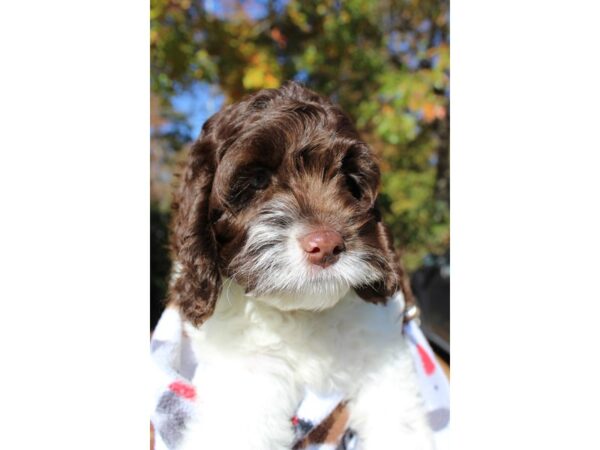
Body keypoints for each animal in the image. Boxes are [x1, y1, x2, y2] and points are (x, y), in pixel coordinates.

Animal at [166, 81, 434, 450]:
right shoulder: (245, 374)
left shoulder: (381, 357)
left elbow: (400, 421)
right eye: (257, 181)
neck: (302, 313)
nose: (327, 246)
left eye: (349, 181)